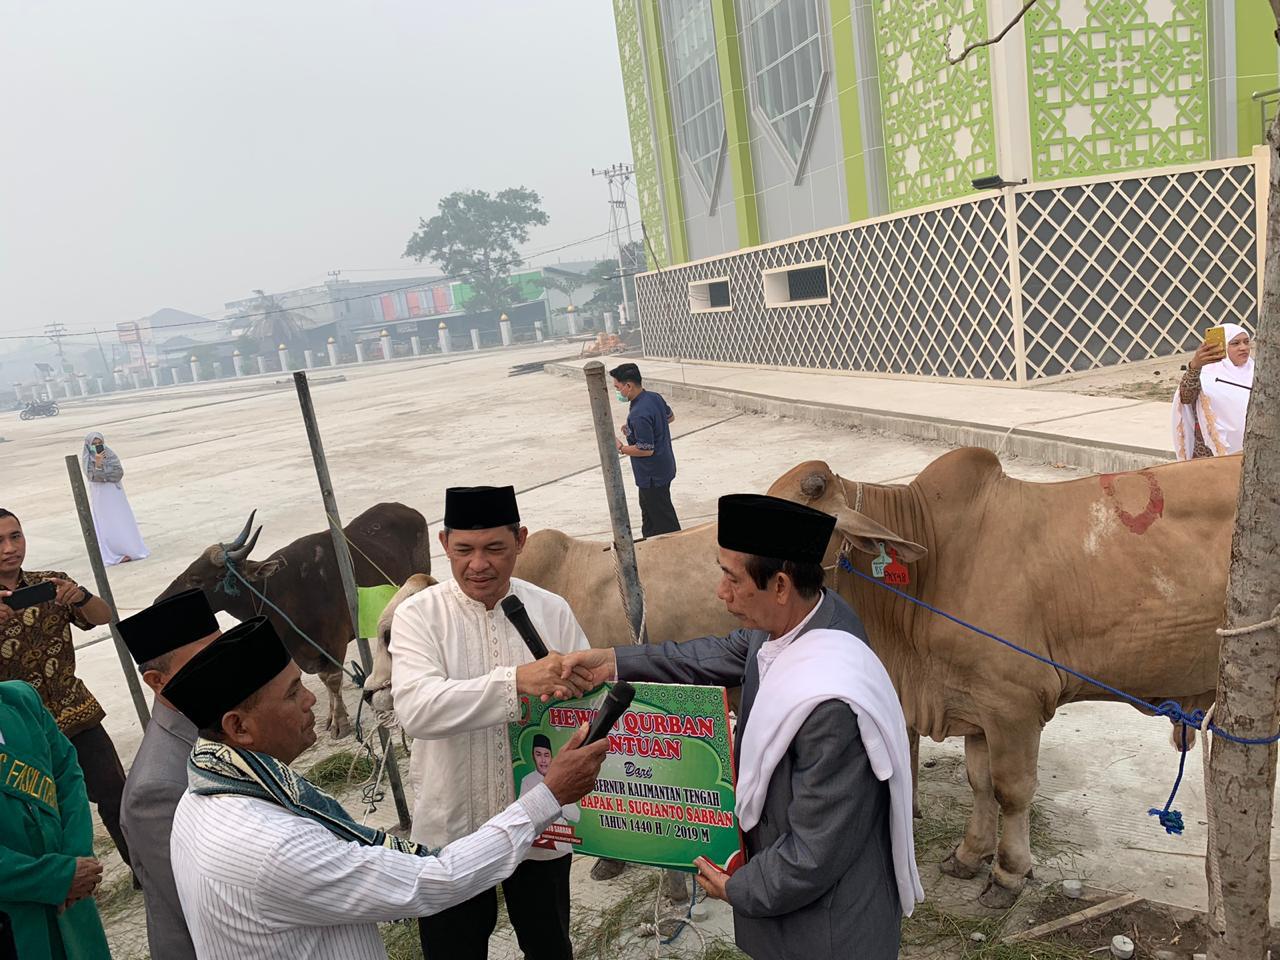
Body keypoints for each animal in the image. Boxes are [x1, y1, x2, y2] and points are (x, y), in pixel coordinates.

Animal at [762, 450, 1223, 911]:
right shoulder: (974, 704)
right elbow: (979, 783)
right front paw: (969, 855)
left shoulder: (1013, 705)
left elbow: (1011, 791)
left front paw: (1008, 874)